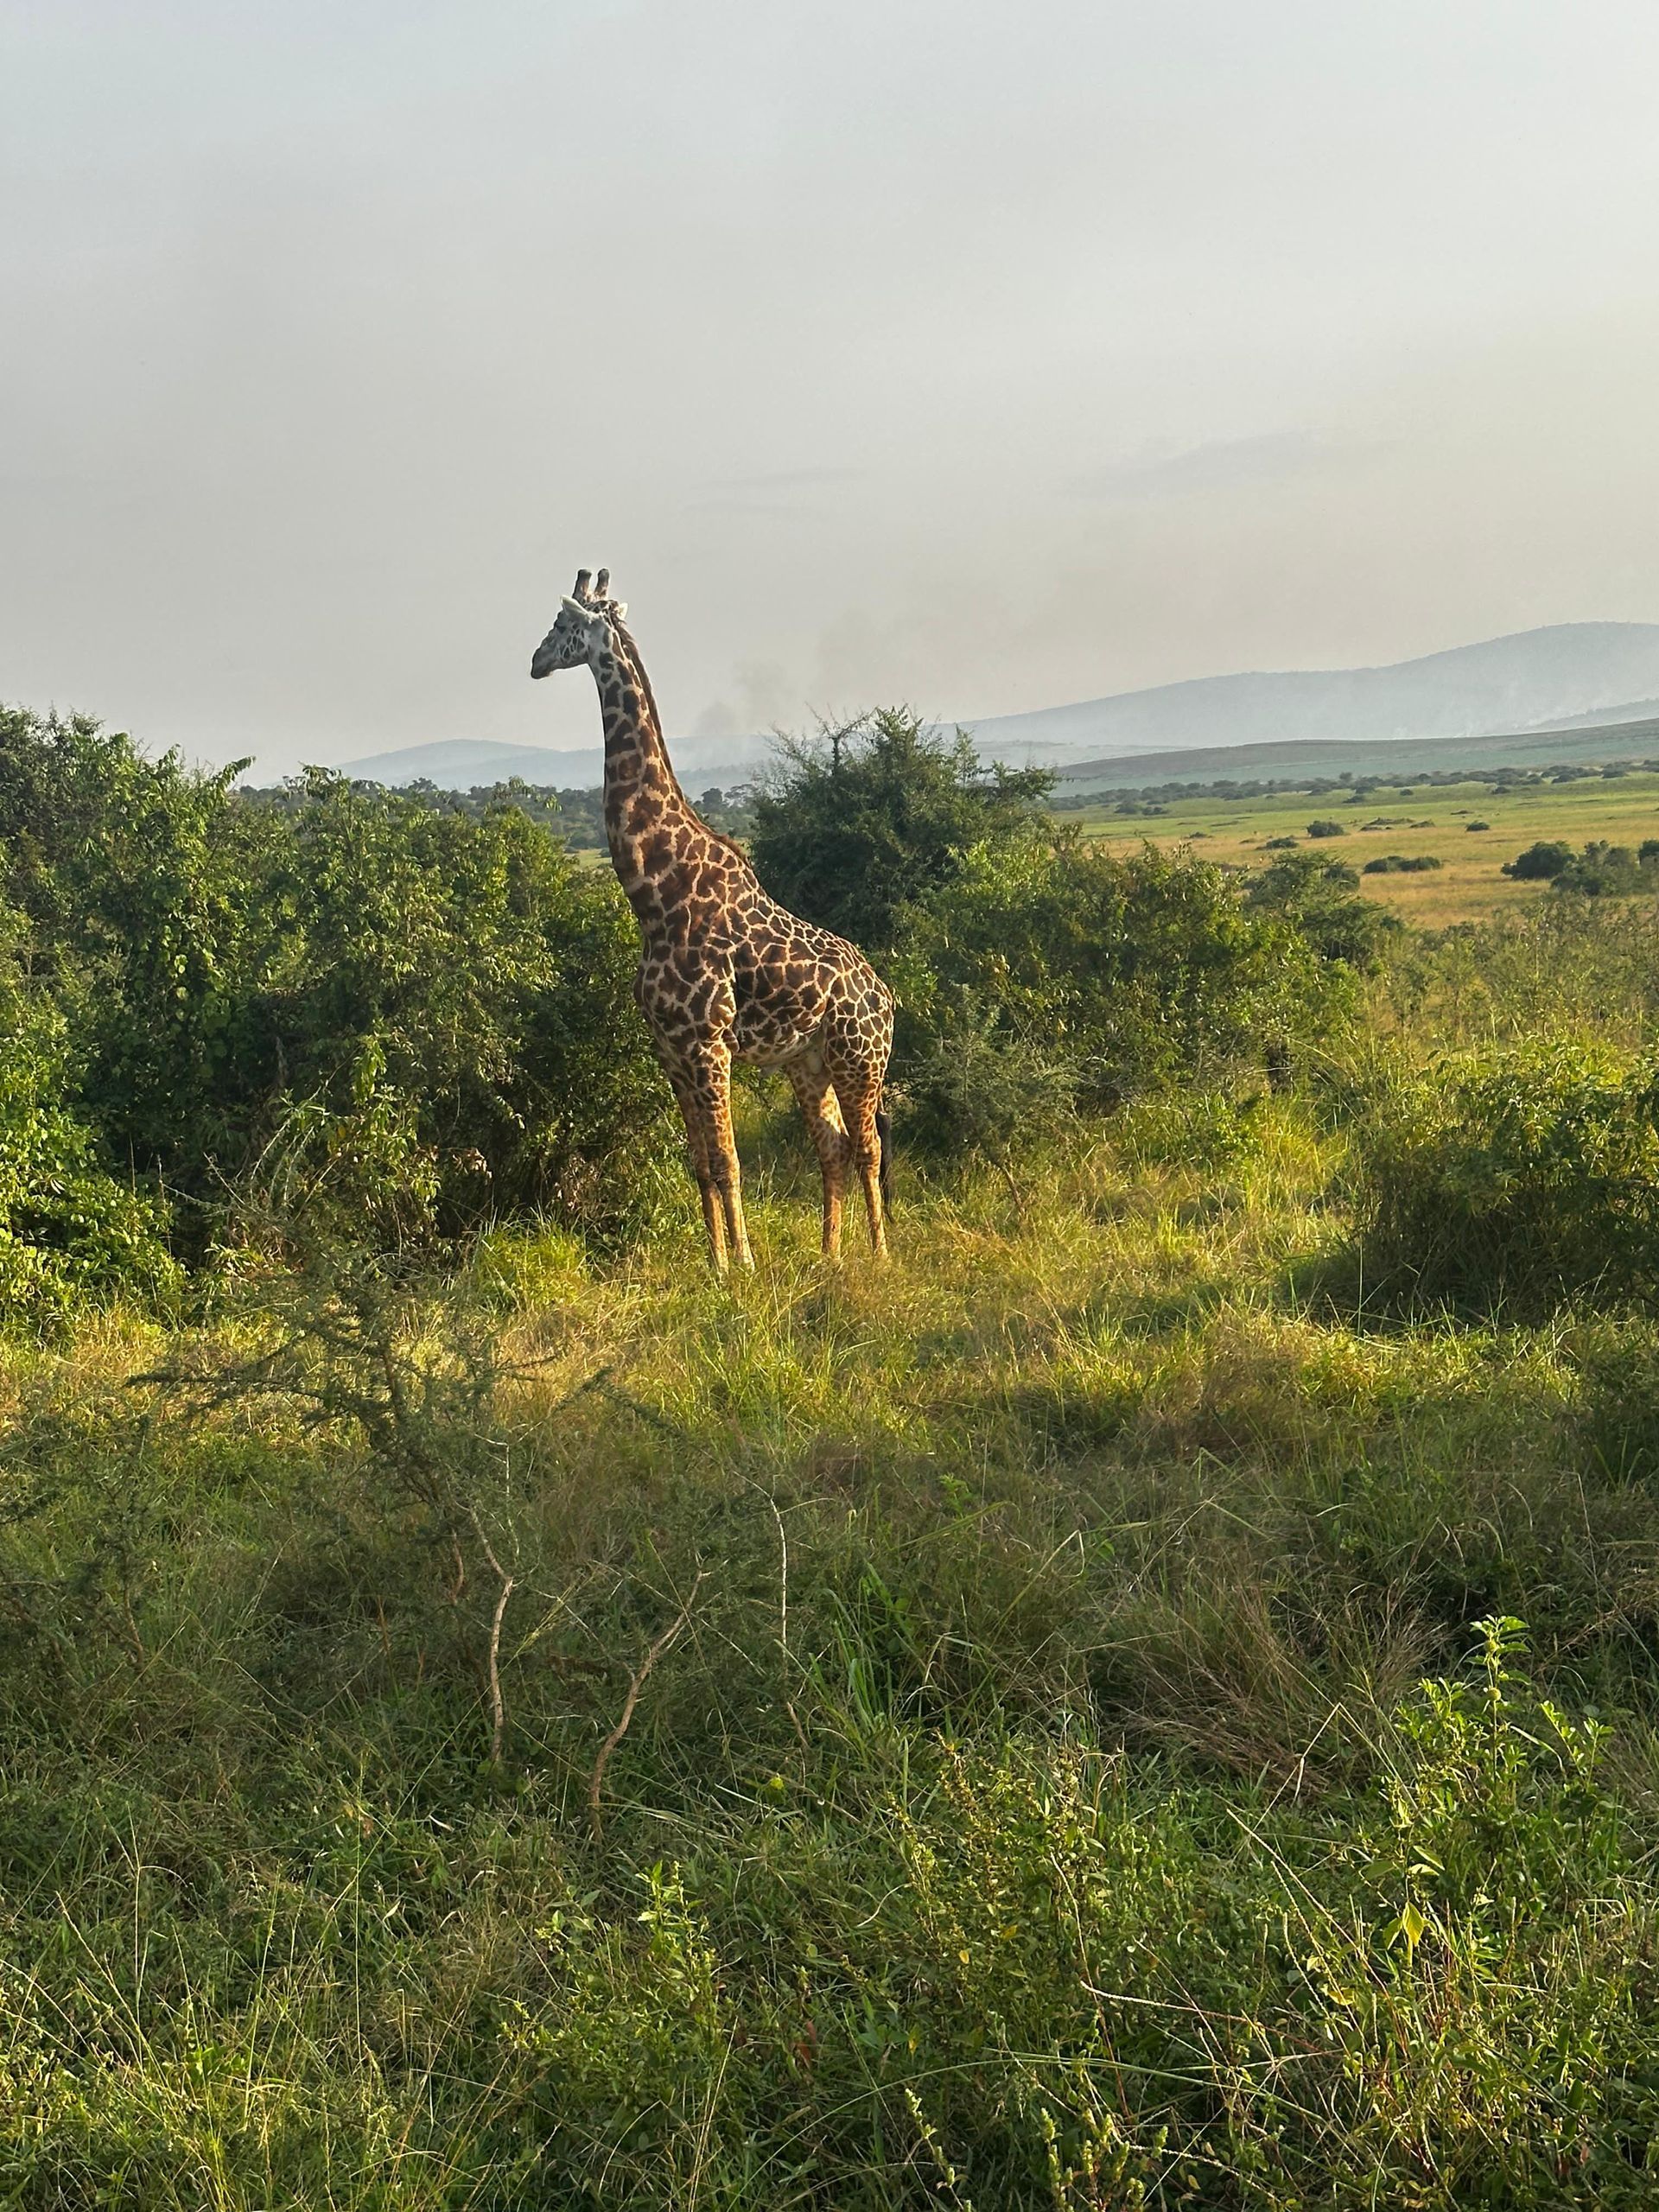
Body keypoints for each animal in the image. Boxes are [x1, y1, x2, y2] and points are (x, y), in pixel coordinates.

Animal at [530, 569, 893, 1272]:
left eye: (561, 626)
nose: (533, 662)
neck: (656, 895)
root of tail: (888, 997)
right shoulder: (670, 1048)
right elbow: (699, 1163)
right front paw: (716, 1263)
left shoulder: (708, 1044)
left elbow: (728, 1163)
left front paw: (745, 1267)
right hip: (808, 1063)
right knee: (832, 1146)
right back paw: (830, 1256)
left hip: (860, 1058)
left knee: (869, 1148)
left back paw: (881, 1257)